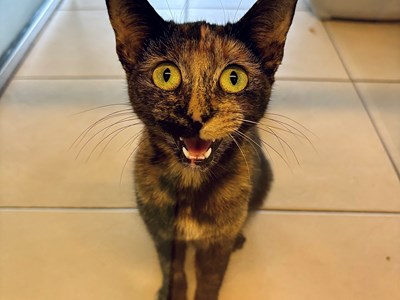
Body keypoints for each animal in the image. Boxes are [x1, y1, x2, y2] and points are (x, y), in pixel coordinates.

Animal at [105, 0, 296, 300]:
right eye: (166, 75)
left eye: (234, 78)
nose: (196, 116)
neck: (190, 183)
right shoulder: (163, 235)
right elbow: (174, 271)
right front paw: (171, 292)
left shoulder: (216, 246)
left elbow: (209, 280)